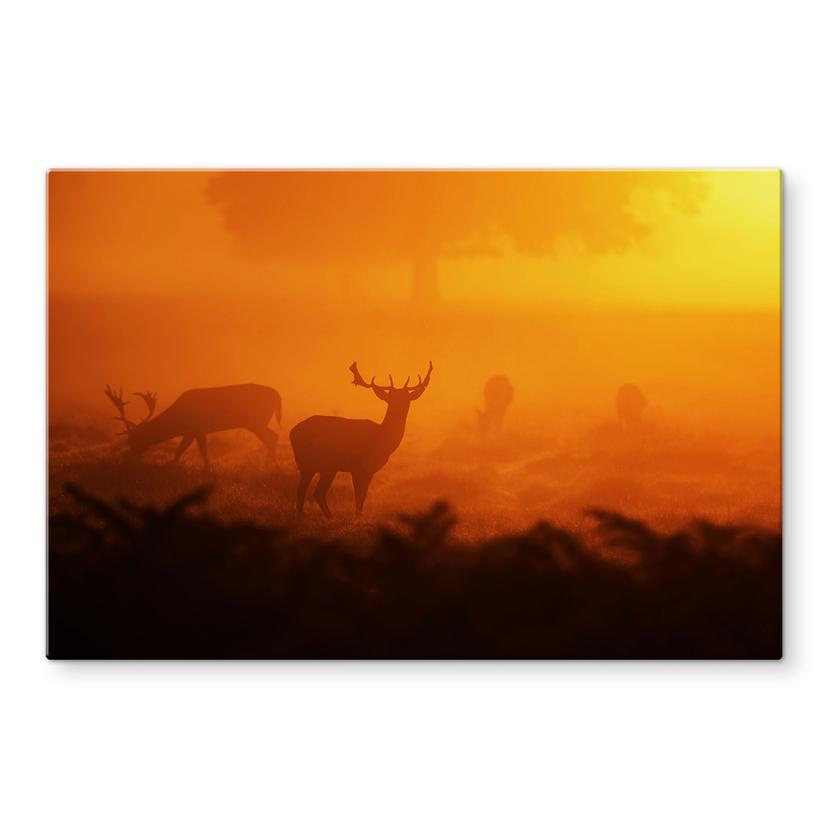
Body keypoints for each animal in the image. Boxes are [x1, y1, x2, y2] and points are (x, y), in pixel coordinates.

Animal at [104, 383, 282, 470]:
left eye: (134, 440)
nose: (130, 459)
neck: (179, 419)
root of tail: (277, 394)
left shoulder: (198, 427)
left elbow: (202, 450)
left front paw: (207, 469)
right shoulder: (190, 431)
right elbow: (180, 449)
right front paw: (172, 464)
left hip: (256, 421)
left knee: (273, 437)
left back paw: (268, 464)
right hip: (257, 422)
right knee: (273, 437)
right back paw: (269, 463)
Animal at [289, 361, 433, 518]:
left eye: (406, 398)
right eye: (391, 398)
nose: (400, 407)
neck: (383, 440)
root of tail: (292, 432)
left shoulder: (369, 470)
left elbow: (363, 496)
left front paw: (359, 516)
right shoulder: (358, 467)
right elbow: (359, 496)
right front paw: (357, 517)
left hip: (320, 466)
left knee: (312, 491)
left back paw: (321, 516)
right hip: (315, 463)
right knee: (309, 491)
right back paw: (316, 516)